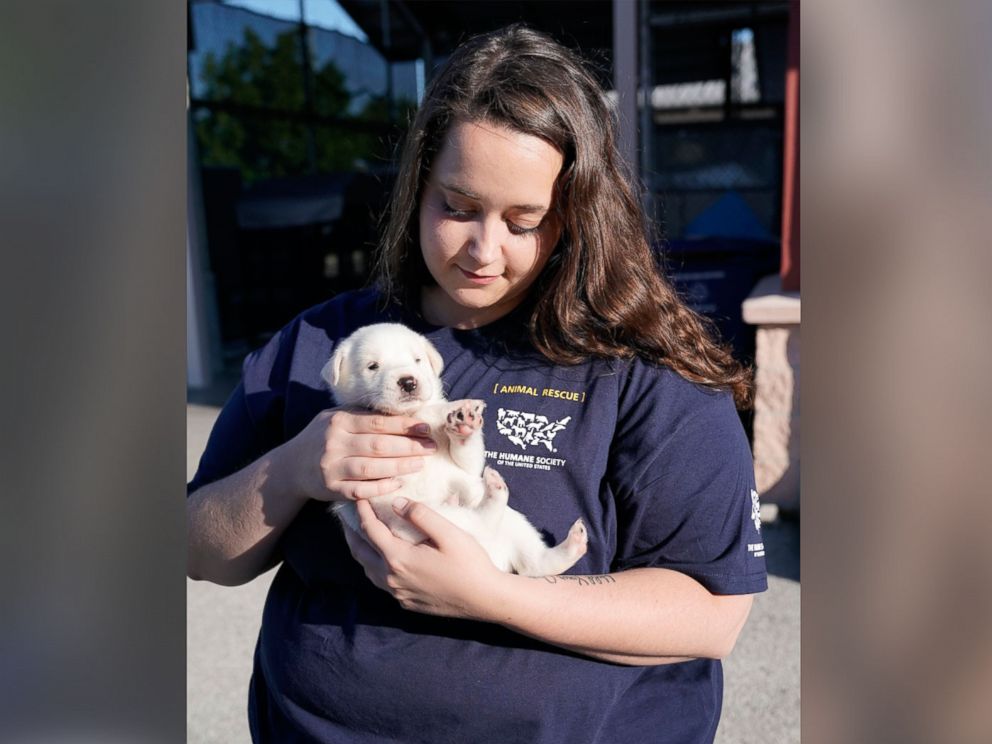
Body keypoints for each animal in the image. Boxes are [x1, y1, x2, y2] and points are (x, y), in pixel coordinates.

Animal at [324, 322, 588, 580]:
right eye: (372, 366)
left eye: (417, 360)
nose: (408, 381)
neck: (414, 414)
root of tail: (495, 558)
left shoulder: (461, 462)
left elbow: (468, 458)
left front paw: (464, 424)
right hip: (421, 517)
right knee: (483, 524)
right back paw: (496, 492)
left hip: (509, 521)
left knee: (532, 563)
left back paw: (571, 544)